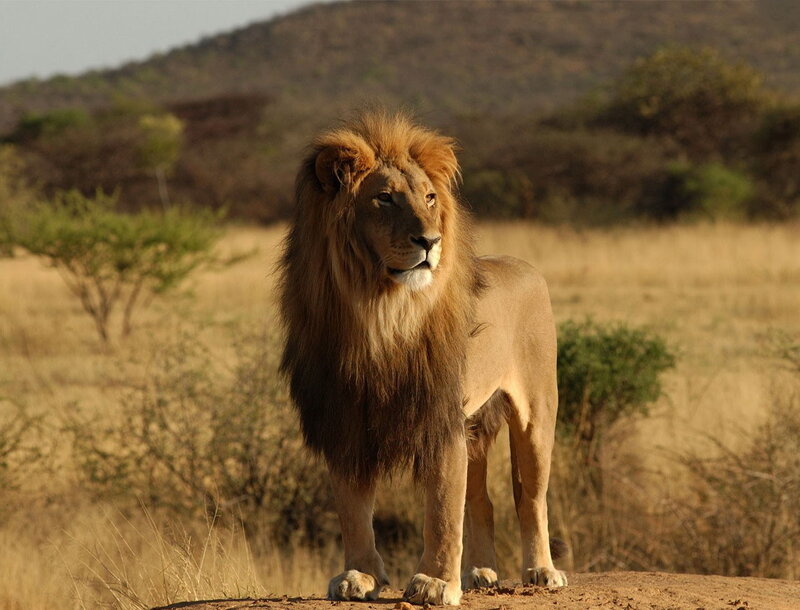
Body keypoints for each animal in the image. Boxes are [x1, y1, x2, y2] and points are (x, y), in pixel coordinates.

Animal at [278, 112, 567, 606]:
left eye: (430, 198)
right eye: (385, 198)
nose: (430, 241)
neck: (379, 313)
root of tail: (525, 266)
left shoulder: (439, 418)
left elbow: (442, 510)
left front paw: (434, 582)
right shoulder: (345, 419)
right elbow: (353, 508)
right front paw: (359, 576)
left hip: (536, 413)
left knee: (530, 497)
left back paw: (541, 571)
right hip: (476, 426)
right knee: (483, 500)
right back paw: (480, 572)